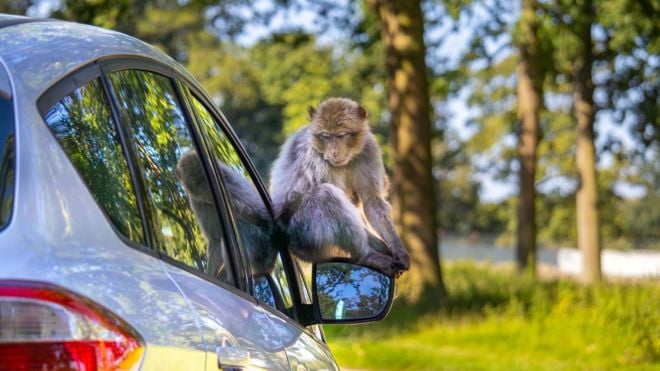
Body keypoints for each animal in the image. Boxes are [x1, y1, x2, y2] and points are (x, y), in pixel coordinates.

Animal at [174, 150, 278, 280]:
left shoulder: (225, 182)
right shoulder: (196, 202)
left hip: (262, 245)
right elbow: (215, 239)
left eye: (206, 177)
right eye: (198, 181)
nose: (209, 189)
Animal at [270, 97, 410, 278]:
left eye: (341, 135)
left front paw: (398, 249)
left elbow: (373, 202)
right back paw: (366, 255)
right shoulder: (314, 157)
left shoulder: (368, 150)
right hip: (302, 232)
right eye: (326, 136)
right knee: (324, 195)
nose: (334, 152)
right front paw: (381, 247)